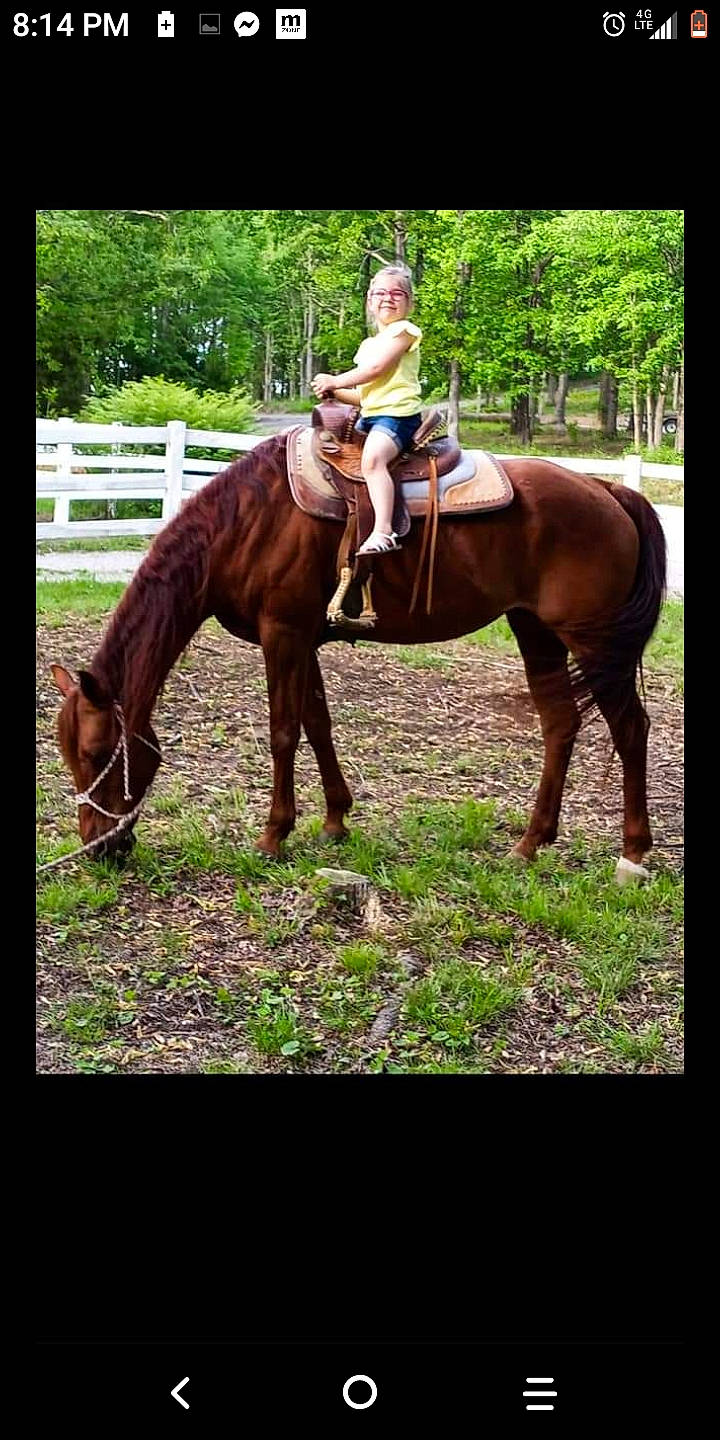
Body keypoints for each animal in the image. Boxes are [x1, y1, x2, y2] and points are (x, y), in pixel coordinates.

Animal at [49, 429, 667, 884]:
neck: (248, 521)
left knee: (630, 728)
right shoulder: (305, 639)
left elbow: (283, 731)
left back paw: (633, 854)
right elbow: (317, 725)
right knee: (560, 724)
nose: (96, 847)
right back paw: (529, 843)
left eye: (98, 751)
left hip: (591, 642)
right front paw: (335, 821)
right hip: (535, 630)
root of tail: (607, 491)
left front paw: (273, 836)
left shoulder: (283, 634)